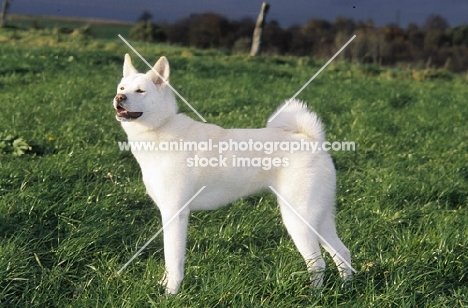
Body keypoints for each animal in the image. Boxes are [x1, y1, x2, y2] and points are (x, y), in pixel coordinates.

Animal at [113, 54, 352, 294]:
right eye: (122, 88)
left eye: (141, 91)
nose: (119, 98)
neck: (161, 129)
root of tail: (313, 141)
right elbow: (169, 261)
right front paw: (163, 285)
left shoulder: (175, 213)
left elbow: (173, 259)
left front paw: (170, 293)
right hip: (320, 219)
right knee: (343, 253)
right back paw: (347, 288)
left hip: (298, 220)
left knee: (318, 263)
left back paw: (313, 296)